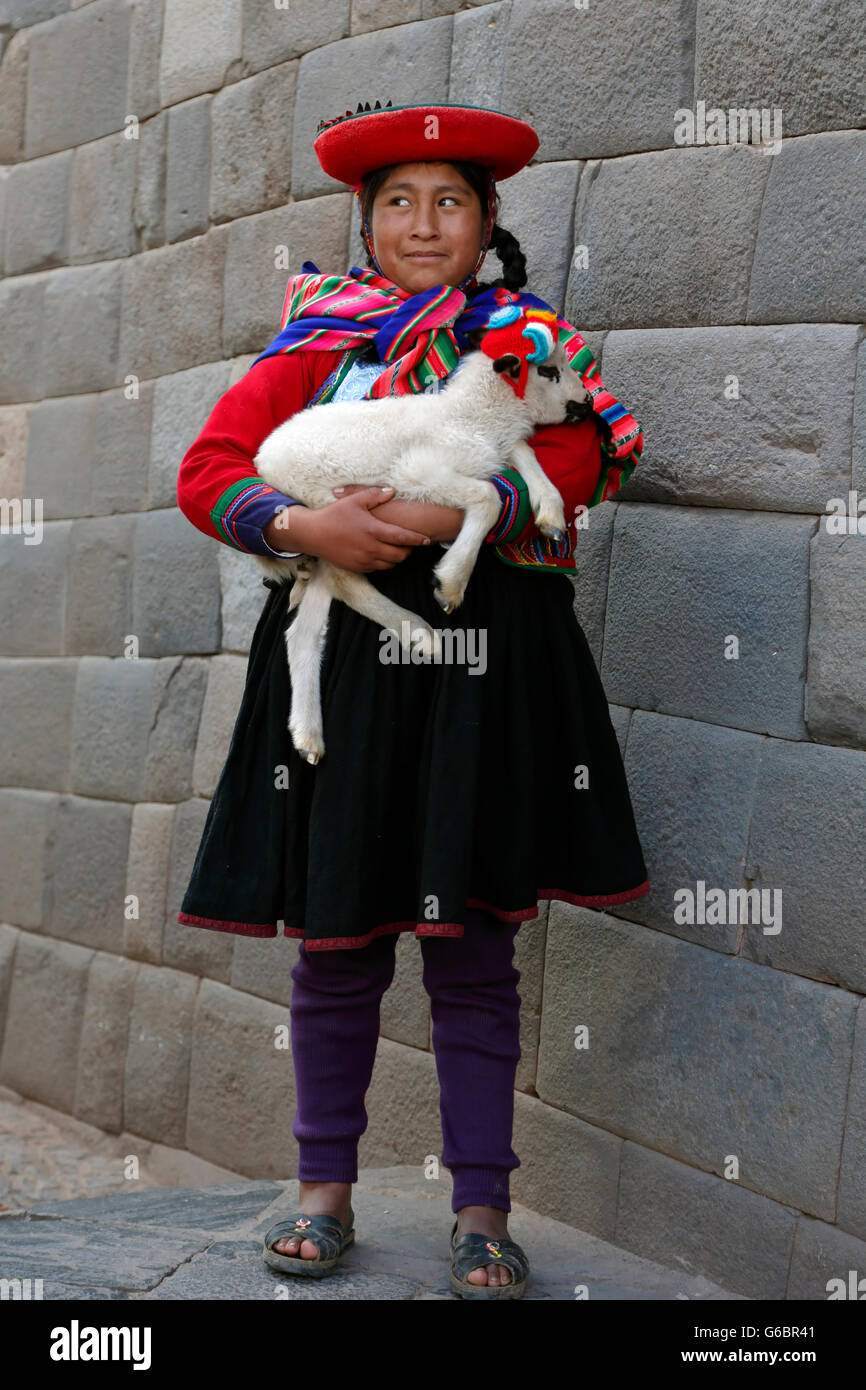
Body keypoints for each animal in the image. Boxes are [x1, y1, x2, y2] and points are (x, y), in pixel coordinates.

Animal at [254, 321, 592, 767]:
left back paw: (308, 735)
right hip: (327, 513)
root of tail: (262, 461)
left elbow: (524, 455)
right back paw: (419, 633)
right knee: (346, 582)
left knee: (303, 631)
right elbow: (489, 497)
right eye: (549, 371)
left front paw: (551, 515)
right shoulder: (418, 474)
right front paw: (451, 583)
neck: (471, 416)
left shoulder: (492, 450)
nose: (588, 402)